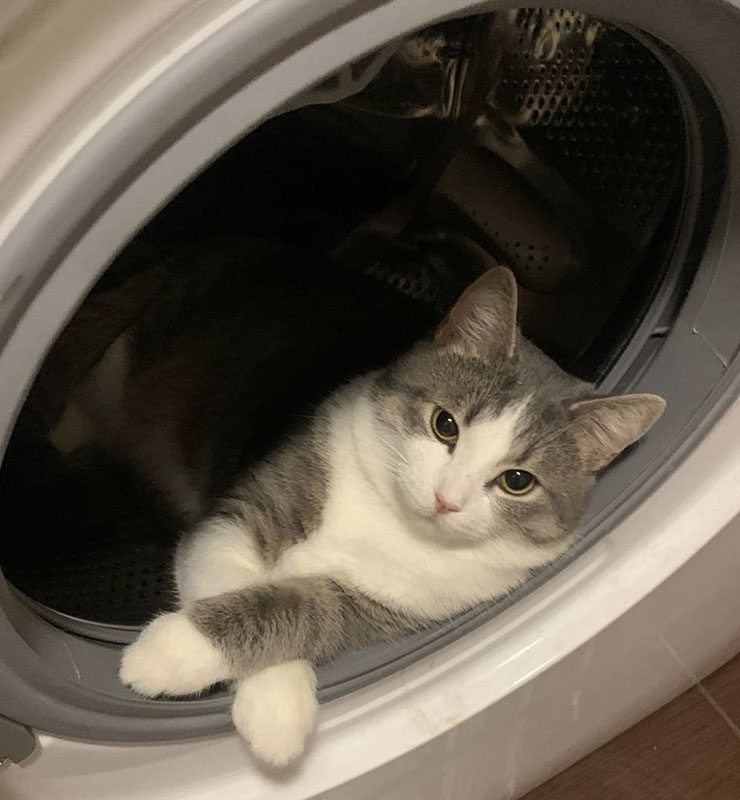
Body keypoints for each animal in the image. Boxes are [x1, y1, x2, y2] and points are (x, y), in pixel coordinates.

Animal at [119, 264, 665, 766]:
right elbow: (227, 566)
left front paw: (258, 699)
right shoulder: (244, 508)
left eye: (517, 481)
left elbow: (308, 610)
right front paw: (206, 665)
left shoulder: (392, 604)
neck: (391, 518)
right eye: (445, 424)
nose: (447, 499)